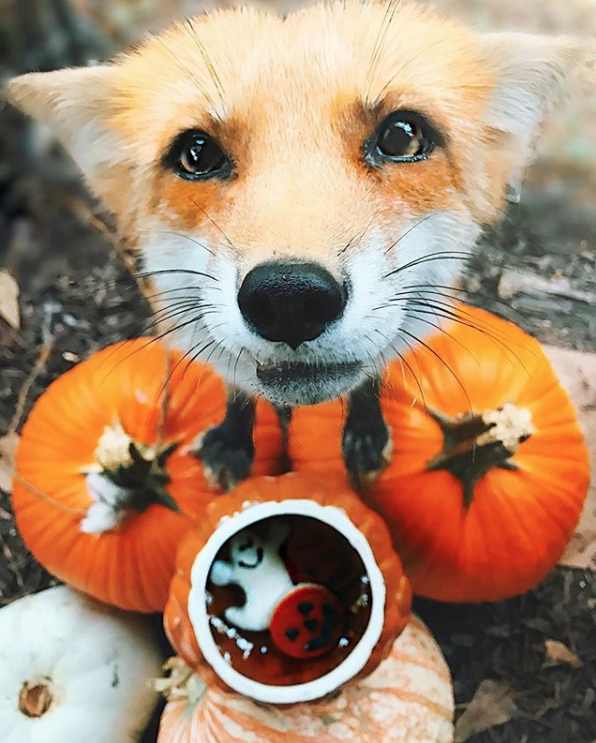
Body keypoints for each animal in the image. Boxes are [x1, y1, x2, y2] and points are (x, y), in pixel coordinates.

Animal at [7, 1, 594, 491]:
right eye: (197, 153)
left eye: (401, 136)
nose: (289, 299)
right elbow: (239, 394)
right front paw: (233, 441)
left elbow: (368, 380)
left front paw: (365, 432)